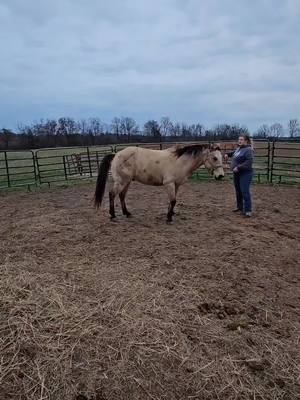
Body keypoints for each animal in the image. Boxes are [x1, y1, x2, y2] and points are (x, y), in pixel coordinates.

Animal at [95, 144, 224, 222]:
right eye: (215, 158)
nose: (221, 176)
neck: (180, 161)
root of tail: (116, 154)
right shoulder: (169, 183)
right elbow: (173, 200)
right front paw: (169, 218)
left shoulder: (176, 185)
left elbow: (173, 201)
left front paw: (171, 213)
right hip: (121, 181)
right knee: (112, 194)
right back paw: (112, 215)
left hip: (127, 182)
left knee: (121, 195)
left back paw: (127, 213)